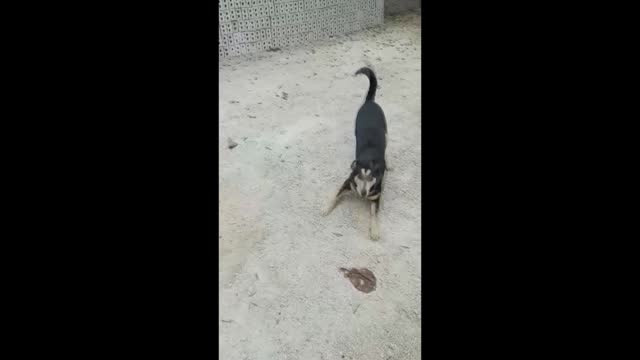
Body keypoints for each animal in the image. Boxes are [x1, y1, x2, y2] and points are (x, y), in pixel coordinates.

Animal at [322, 67, 388, 242]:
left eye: (371, 179)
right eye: (359, 176)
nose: (363, 194)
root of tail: (370, 102)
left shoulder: (376, 197)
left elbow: (374, 215)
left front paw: (374, 230)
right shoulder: (347, 183)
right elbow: (334, 196)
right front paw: (326, 208)